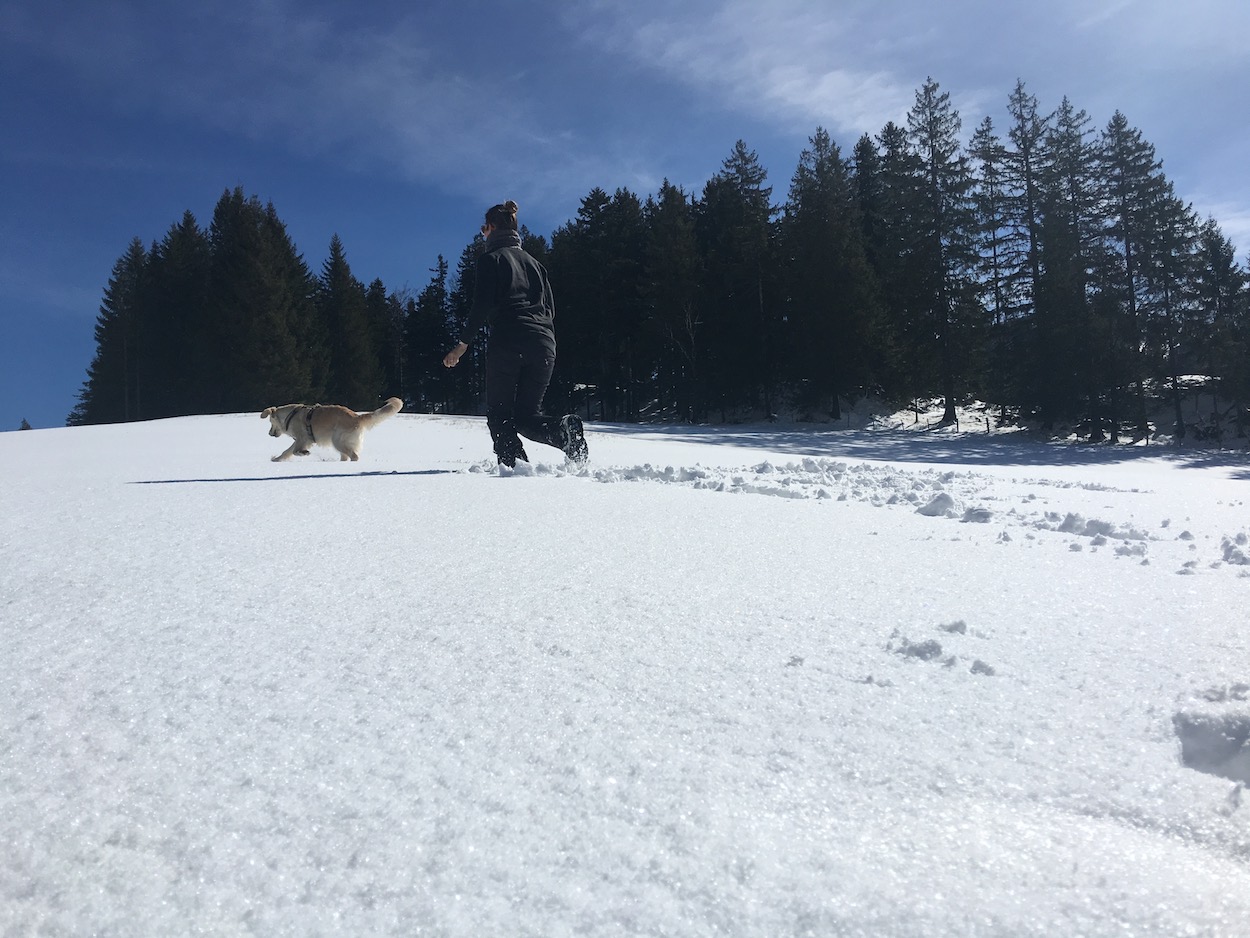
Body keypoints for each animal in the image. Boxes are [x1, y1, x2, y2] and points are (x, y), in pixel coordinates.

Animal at [261, 397, 402, 462]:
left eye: (270, 422)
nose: (269, 433)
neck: (289, 416)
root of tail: (357, 416)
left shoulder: (303, 439)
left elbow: (295, 451)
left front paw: (304, 453)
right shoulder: (299, 440)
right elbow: (287, 451)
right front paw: (276, 459)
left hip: (337, 441)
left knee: (354, 456)